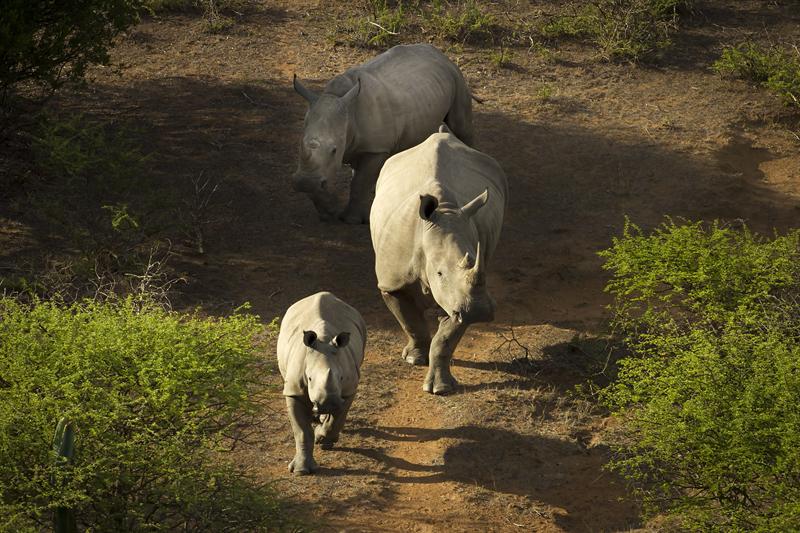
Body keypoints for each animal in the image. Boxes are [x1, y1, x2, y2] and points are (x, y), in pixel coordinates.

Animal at [277, 291, 367, 474]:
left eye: (341, 378)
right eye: (309, 378)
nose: (329, 404)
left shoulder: (349, 389)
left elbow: (337, 419)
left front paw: (324, 440)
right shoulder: (293, 390)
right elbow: (302, 431)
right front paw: (301, 471)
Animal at [293, 43, 477, 224]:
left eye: (334, 150)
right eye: (299, 146)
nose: (304, 183)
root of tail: (439, 53)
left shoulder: (375, 149)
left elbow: (359, 183)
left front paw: (350, 220)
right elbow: (341, 179)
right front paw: (327, 213)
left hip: (456, 76)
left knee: (461, 127)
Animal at [370, 127, 507, 395]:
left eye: (473, 259)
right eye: (440, 273)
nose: (480, 311)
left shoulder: (460, 297)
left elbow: (445, 338)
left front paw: (441, 389)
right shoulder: (392, 282)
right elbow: (409, 320)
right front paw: (414, 359)